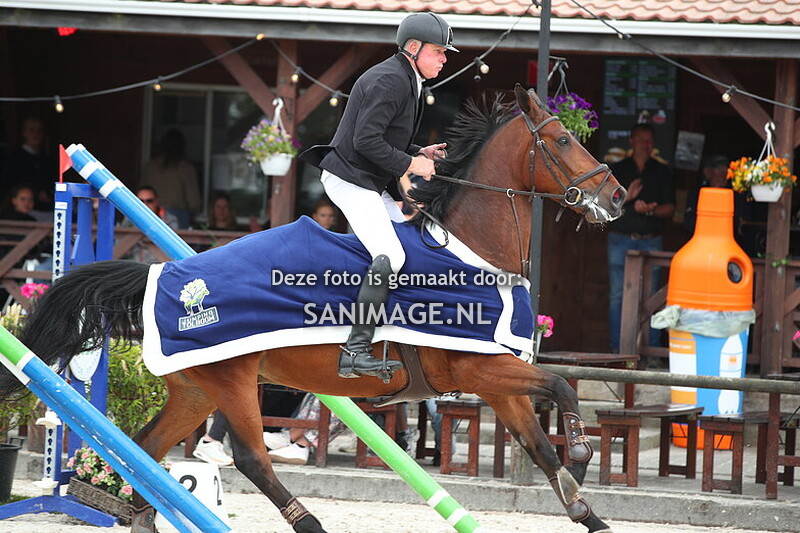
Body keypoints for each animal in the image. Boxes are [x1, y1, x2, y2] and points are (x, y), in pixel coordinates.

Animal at [2, 85, 625, 533]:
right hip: (233, 381)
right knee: (251, 458)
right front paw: (581, 455)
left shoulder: (495, 379)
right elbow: (563, 390)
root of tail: (167, 274)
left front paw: (584, 506)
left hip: (197, 388)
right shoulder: (478, 367)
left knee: (150, 453)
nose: (616, 196)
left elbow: (540, 444)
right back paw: (309, 525)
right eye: (562, 141)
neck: (472, 251)